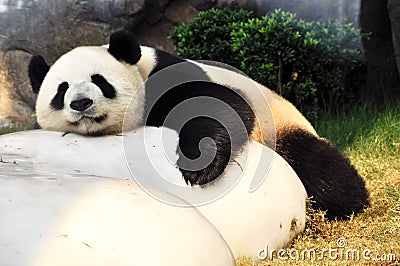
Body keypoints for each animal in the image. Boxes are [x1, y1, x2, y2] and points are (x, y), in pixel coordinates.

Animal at [28, 29, 370, 220]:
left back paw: (349, 201)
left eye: (100, 81)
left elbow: (215, 104)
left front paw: (199, 165)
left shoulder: (165, 75)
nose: (81, 103)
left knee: (318, 166)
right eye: (61, 90)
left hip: (280, 125)